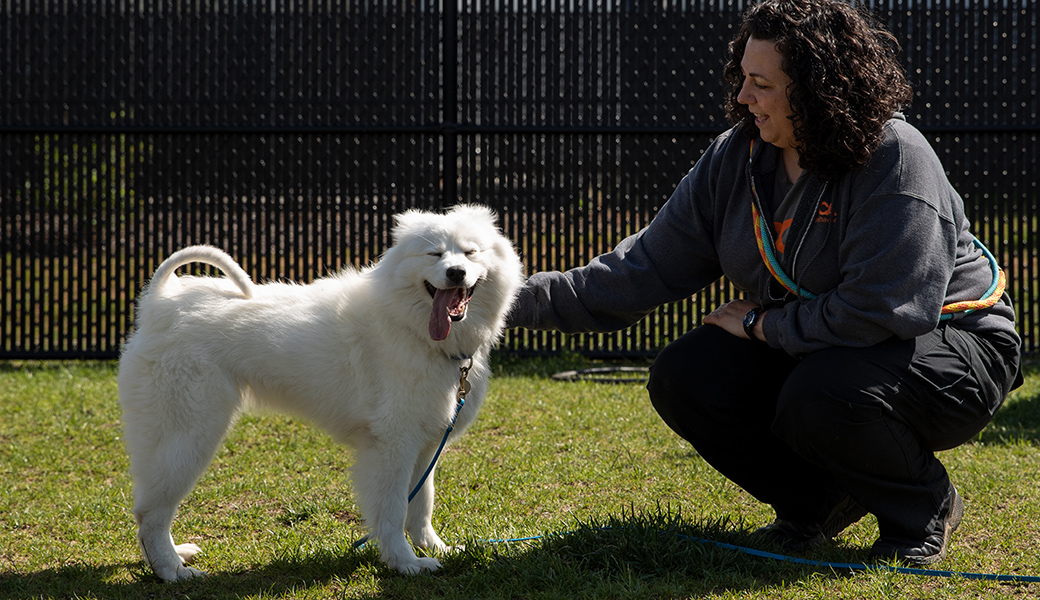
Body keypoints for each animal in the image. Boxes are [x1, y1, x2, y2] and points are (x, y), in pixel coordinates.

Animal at [119, 203, 524, 578]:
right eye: (435, 254)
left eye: (470, 253)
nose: (456, 272)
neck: (411, 327)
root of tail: (160, 302)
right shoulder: (392, 448)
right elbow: (393, 513)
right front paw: (406, 563)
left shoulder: (424, 446)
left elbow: (421, 506)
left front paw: (435, 548)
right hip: (188, 438)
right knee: (150, 515)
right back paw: (173, 571)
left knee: (149, 514)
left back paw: (174, 560)